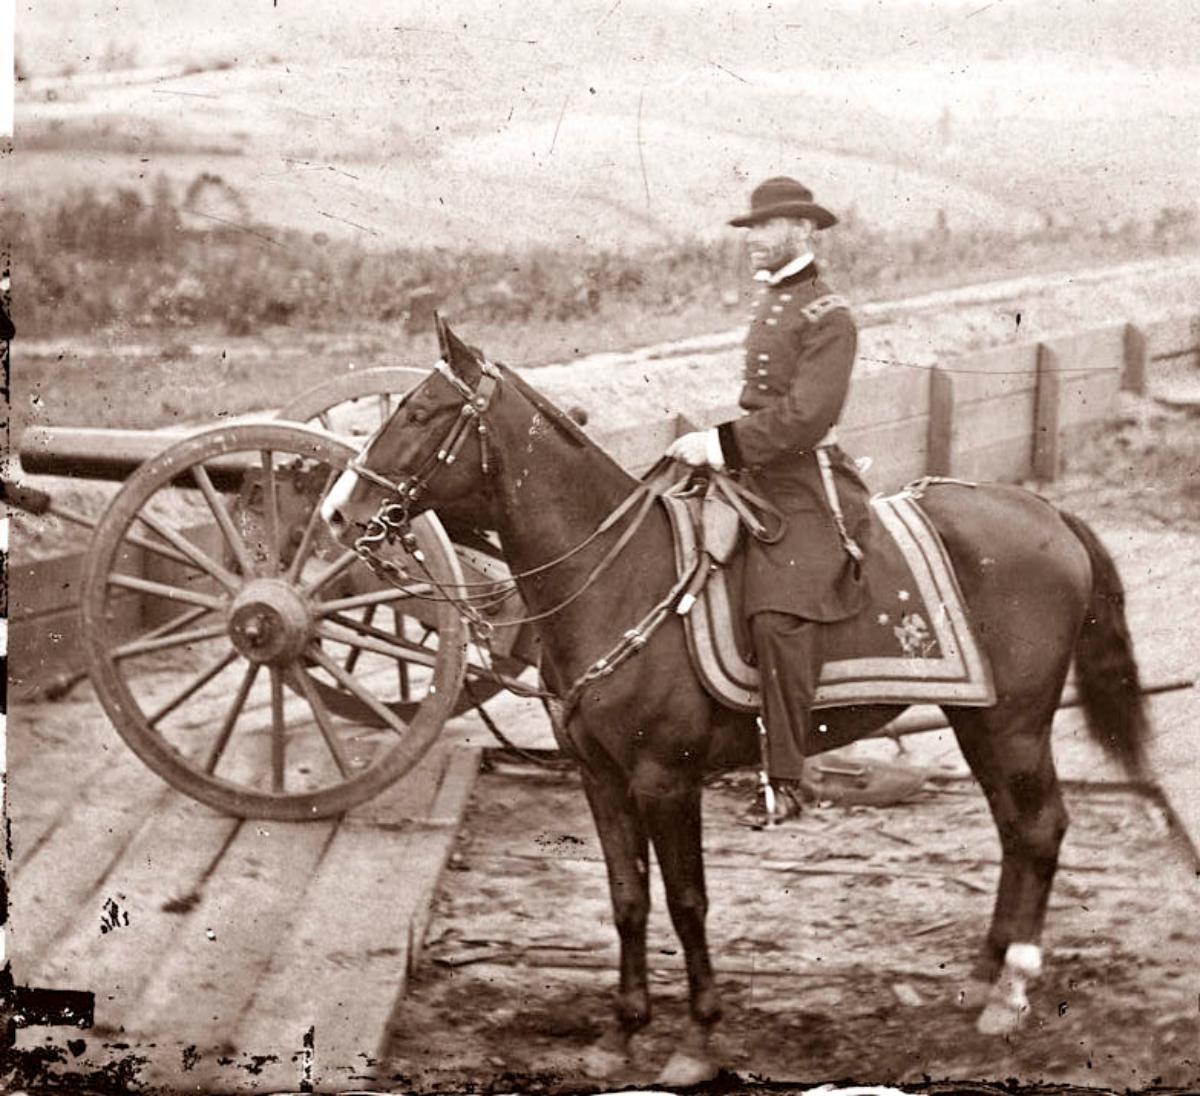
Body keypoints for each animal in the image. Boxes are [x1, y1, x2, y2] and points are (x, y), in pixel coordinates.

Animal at [324, 319, 1147, 1085]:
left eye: (419, 413)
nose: (336, 510)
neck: (619, 576)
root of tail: (1050, 515)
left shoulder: (666, 779)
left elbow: (688, 902)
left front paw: (696, 1040)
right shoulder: (600, 777)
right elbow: (628, 897)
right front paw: (620, 1032)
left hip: (1014, 724)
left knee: (1040, 827)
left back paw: (1010, 993)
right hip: (979, 719)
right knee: (1014, 831)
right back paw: (981, 977)